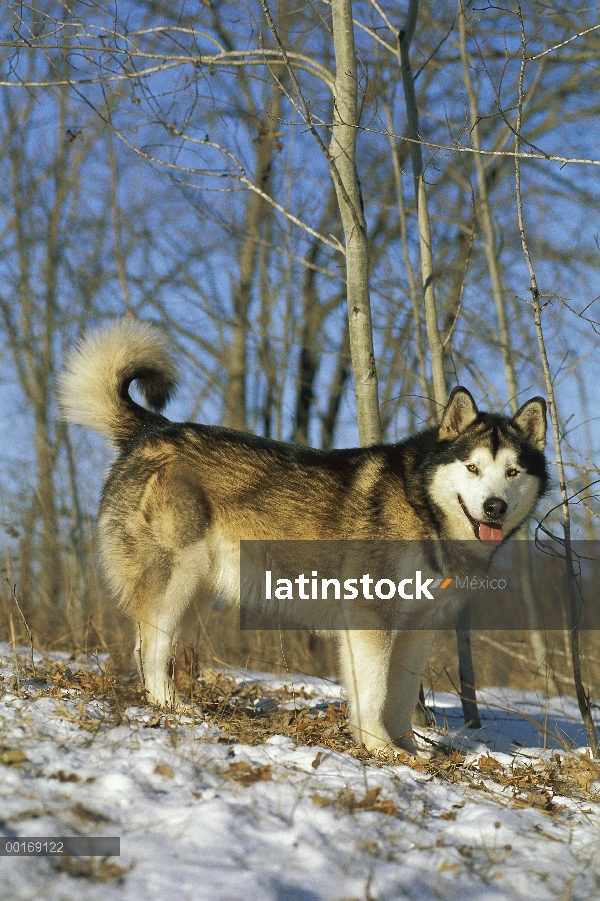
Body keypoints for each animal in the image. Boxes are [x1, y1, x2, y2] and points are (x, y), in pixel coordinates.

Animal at [57, 320, 548, 756]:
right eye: (472, 468)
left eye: (512, 472)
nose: (494, 507)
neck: (424, 509)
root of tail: (153, 426)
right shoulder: (369, 618)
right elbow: (375, 694)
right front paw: (380, 748)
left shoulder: (418, 629)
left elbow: (401, 696)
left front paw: (408, 748)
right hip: (177, 578)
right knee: (152, 647)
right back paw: (172, 707)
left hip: (198, 590)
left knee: (152, 646)